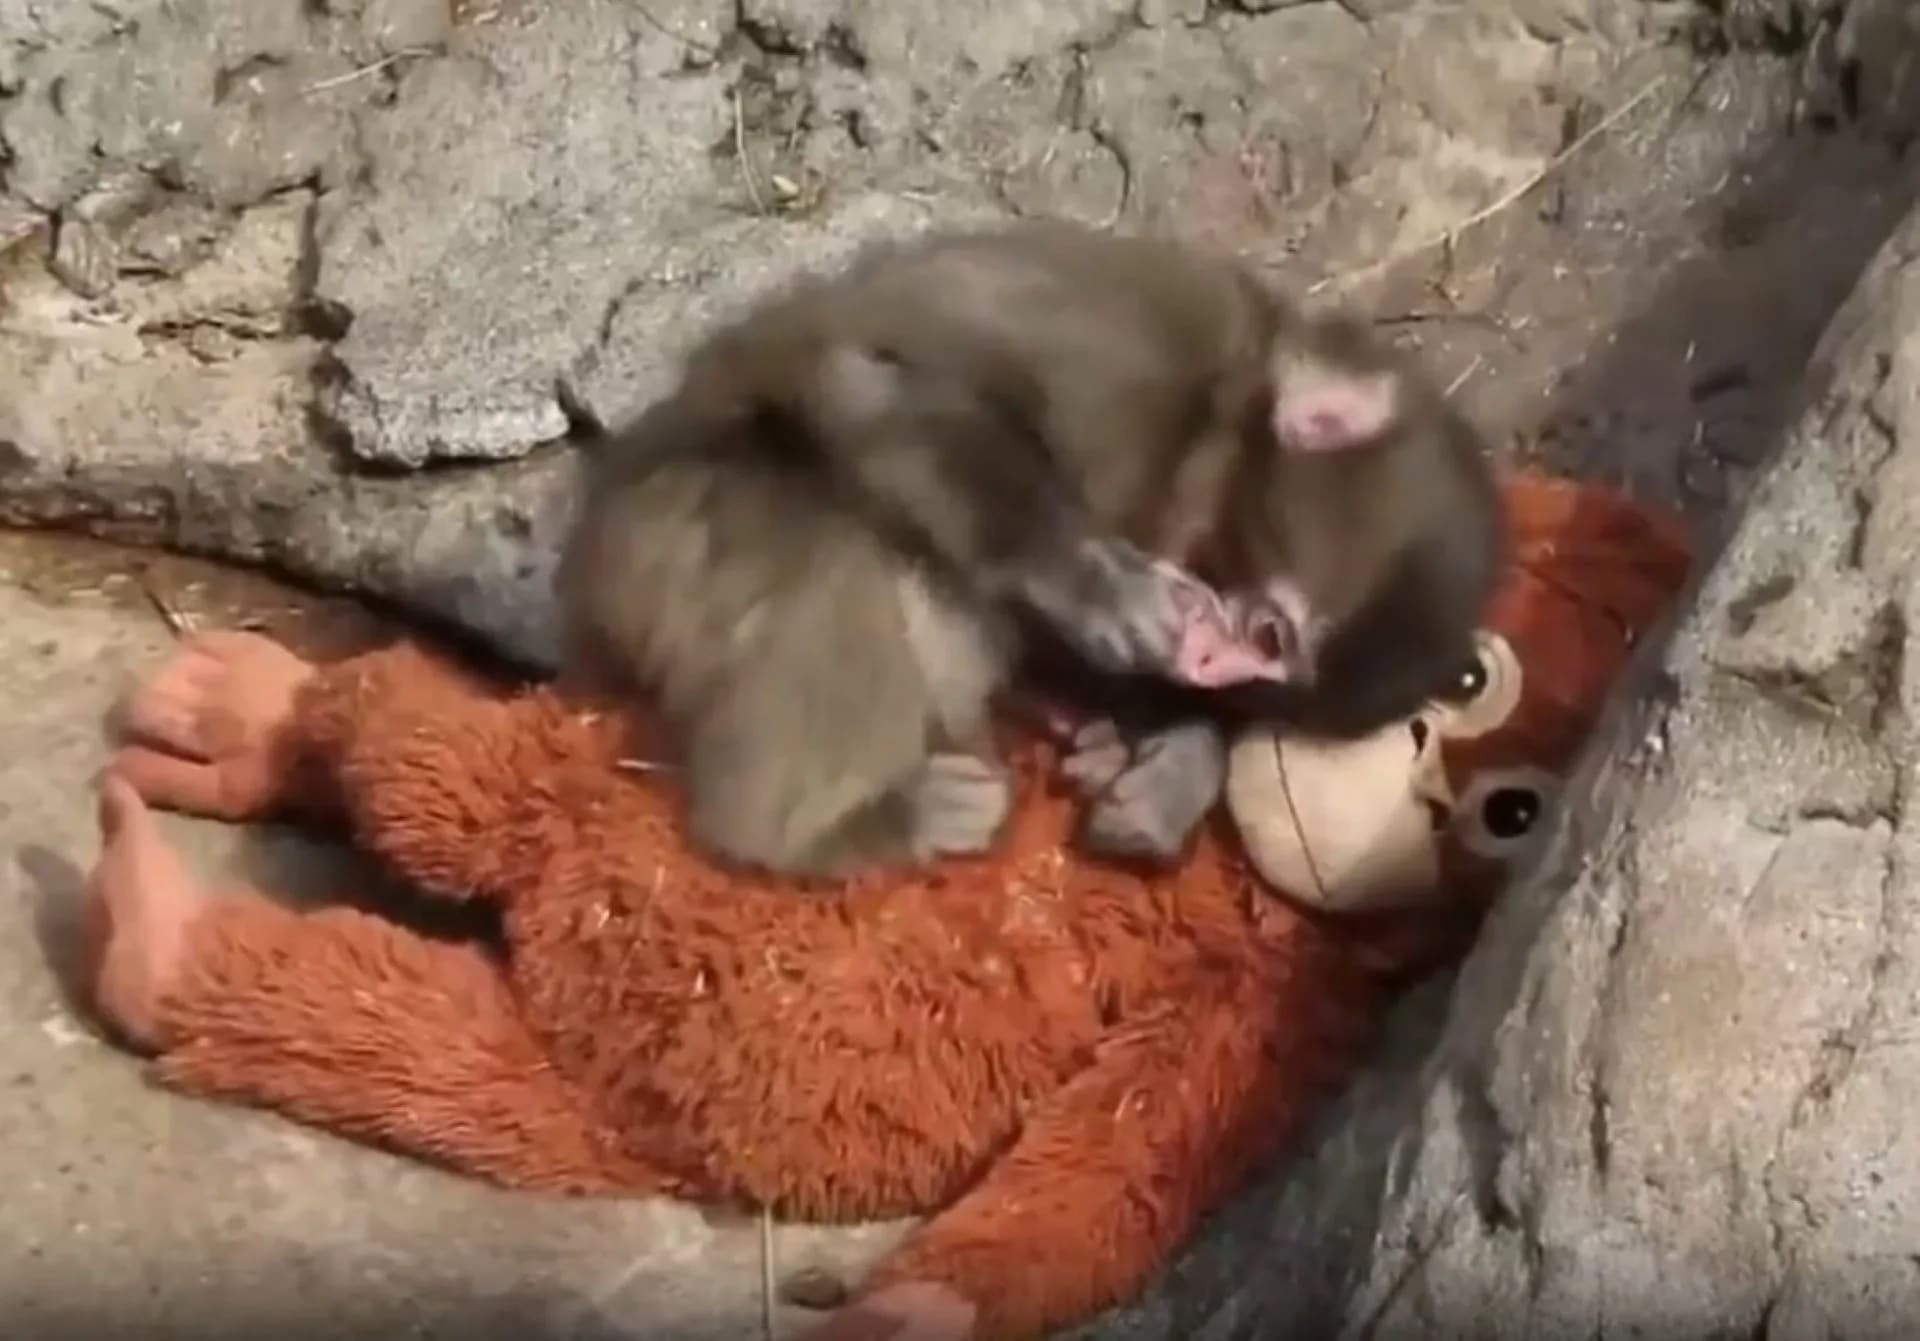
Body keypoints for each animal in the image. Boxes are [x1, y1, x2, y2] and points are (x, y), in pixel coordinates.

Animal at [558, 220, 1505, 879]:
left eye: (1270, 680)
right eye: (1271, 634)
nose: (1209, 667)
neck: (1213, 418)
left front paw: (1169, 763)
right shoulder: (1125, 350)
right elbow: (869, 371)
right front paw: (1094, 583)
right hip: (665, 536)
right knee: (831, 561)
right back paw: (822, 826)